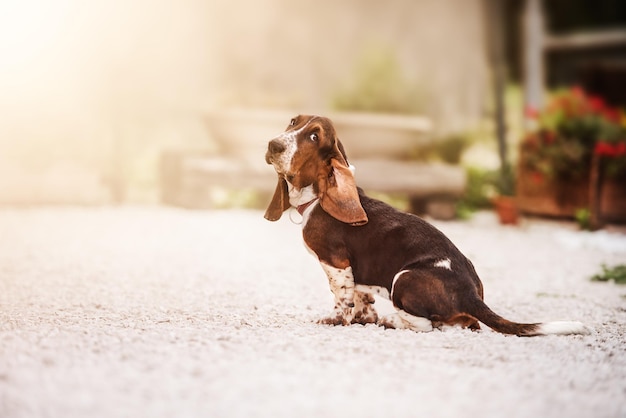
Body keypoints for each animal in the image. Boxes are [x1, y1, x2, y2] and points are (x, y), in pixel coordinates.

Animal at [266, 114, 588, 336]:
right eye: (293, 122)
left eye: (313, 137)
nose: (273, 144)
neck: (316, 197)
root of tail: (470, 293)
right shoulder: (354, 273)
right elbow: (360, 294)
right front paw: (363, 316)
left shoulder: (335, 262)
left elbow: (342, 296)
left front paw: (336, 320)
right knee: (465, 323)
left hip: (403, 278)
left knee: (427, 325)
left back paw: (392, 321)